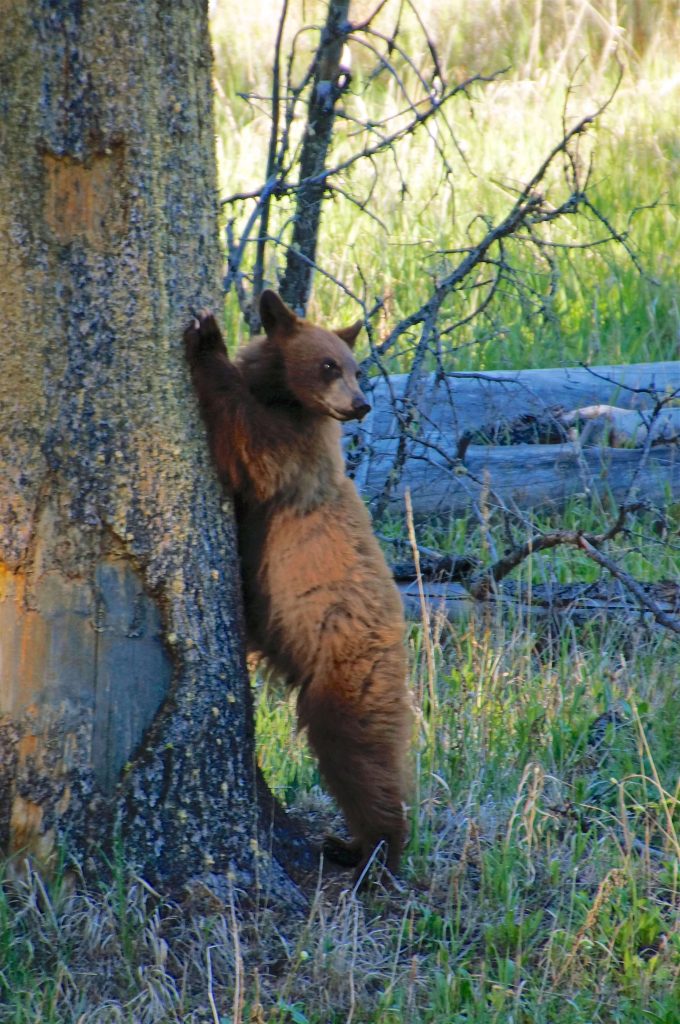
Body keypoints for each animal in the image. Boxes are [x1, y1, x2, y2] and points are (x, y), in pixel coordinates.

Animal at [183, 292, 411, 884]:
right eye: (332, 365)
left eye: (355, 369)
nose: (360, 406)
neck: (288, 399)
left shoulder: (297, 454)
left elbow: (250, 447)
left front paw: (207, 339)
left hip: (347, 666)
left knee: (358, 753)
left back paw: (373, 852)